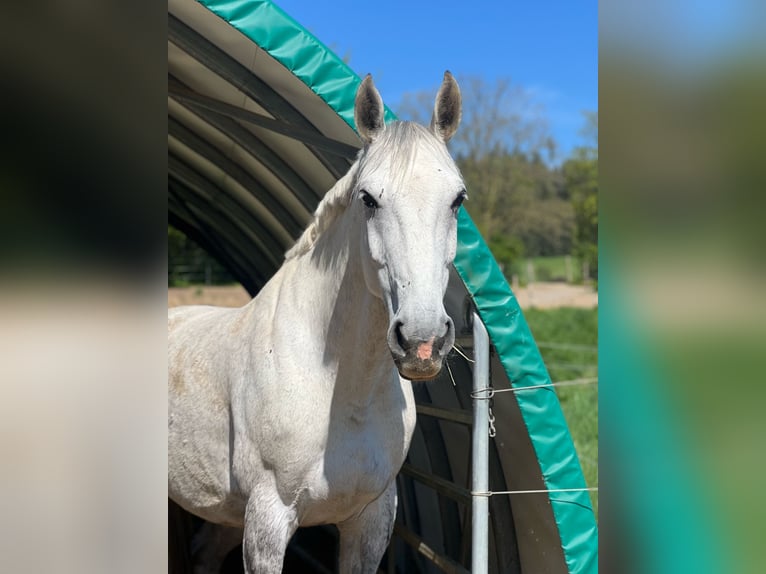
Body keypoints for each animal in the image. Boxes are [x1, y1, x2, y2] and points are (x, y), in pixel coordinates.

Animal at [168, 71, 464, 573]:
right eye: (368, 199)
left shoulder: (370, 521)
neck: (341, 393)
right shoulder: (267, 522)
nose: (422, 341)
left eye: (457, 199)